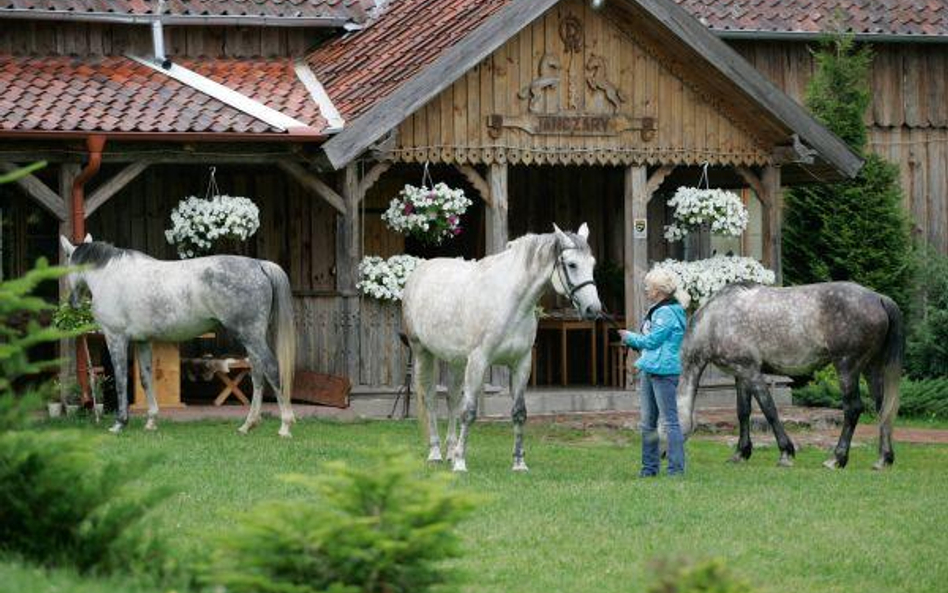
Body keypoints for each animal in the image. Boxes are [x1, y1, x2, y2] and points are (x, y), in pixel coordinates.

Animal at [60, 235, 296, 434]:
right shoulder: (142, 342)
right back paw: (248, 424)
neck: (110, 275)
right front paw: (151, 421)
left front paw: (120, 423)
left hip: (250, 336)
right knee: (257, 374)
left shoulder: (116, 338)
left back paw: (284, 426)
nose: (72, 302)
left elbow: (120, 379)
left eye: (66, 263)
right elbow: (146, 379)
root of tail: (259, 264)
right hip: (252, 338)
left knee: (272, 369)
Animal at [404, 222, 604, 472]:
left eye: (593, 264)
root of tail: (420, 271)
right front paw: (460, 463)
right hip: (423, 353)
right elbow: (469, 412)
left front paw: (519, 463)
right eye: (572, 264)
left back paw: (449, 451)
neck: (510, 302)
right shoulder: (479, 362)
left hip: (456, 361)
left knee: (452, 399)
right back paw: (435, 454)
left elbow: (519, 413)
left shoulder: (521, 364)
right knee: (430, 398)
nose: (593, 309)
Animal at [672, 280, 904, 470]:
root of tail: (879, 298)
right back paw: (883, 459)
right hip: (871, 369)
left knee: (853, 409)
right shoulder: (740, 375)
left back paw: (836, 459)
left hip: (847, 367)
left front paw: (786, 453)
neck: (714, 321)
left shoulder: (751, 372)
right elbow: (743, 412)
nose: (666, 457)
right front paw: (740, 453)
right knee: (883, 408)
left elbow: (769, 410)